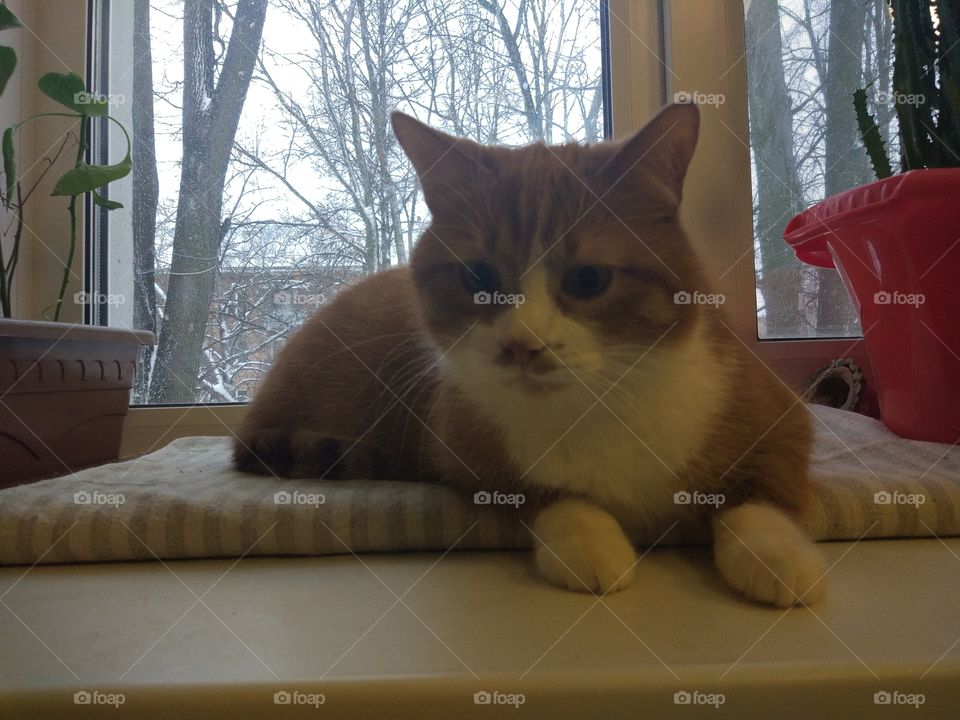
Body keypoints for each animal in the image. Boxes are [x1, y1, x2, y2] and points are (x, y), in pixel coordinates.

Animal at [232, 102, 824, 608]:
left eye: (589, 278)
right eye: (477, 277)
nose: (522, 344)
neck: (598, 404)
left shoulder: (781, 418)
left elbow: (760, 497)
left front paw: (778, 556)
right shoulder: (463, 447)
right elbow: (548, 495)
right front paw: (590, 542)